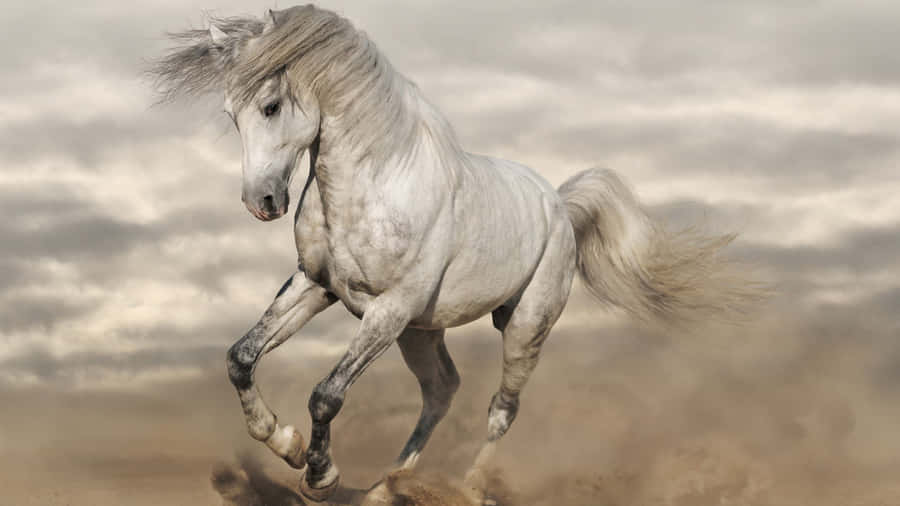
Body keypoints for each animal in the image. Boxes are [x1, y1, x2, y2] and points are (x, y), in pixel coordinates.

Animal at [152, 5, 764, 503]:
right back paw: (385, 489)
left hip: (522, 327)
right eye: (231, 114)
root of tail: (559, 205)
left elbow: (327, 394)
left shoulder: (388, 309)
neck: (374, 183)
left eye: (272, 105)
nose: (262, 202)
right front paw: (285, 442)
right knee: (442, 391)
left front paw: (318, 476)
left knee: (500, 409)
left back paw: (467, 489)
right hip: (422, 333)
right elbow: (241, 357)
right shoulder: (316, 287)